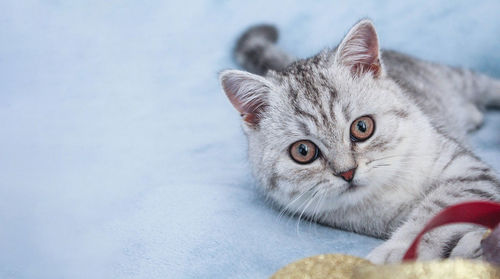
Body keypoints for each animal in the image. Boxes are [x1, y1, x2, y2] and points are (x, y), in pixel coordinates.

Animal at [219, 20, 500, 264]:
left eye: (362, 127)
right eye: (303, 151)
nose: (347, 172)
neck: (385, 189)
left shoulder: (468, 171)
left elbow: (436, 211)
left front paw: (396, 252)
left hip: (455, 77)